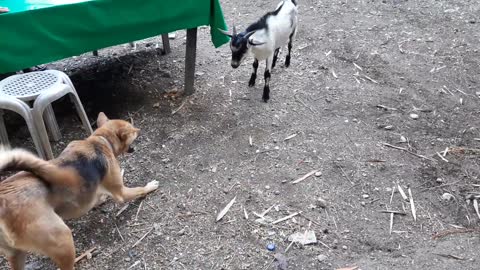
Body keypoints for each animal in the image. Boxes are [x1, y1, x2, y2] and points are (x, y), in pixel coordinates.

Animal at [0, 112, 159, 270]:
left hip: (16, 254)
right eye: (132, 129)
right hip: (62, 238)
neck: (100, 140)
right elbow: (139, 189)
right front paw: (150, 186)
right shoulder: (121, 193)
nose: (139, 129)